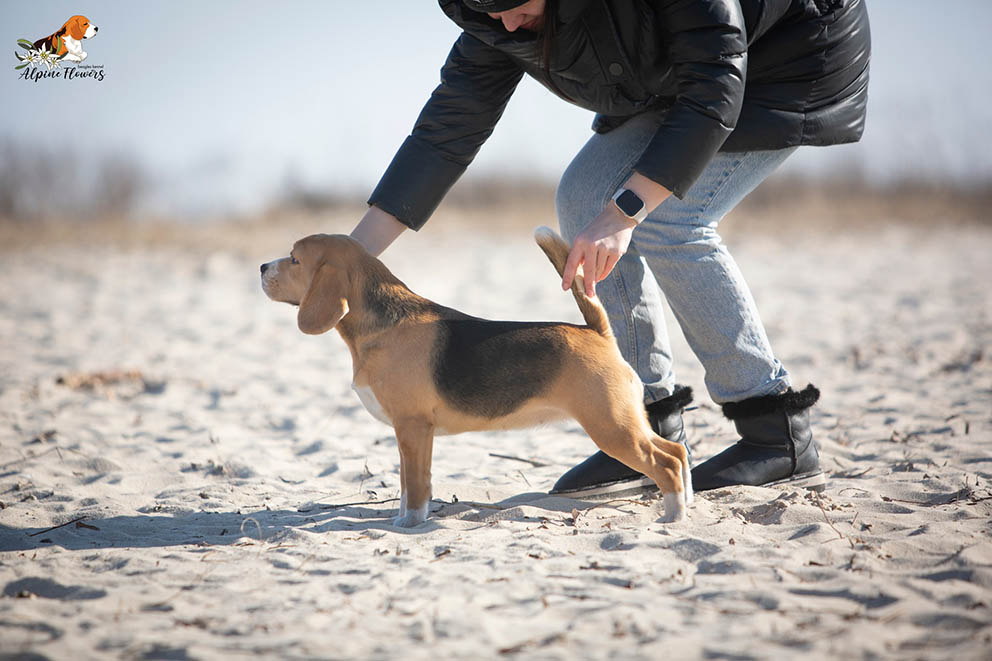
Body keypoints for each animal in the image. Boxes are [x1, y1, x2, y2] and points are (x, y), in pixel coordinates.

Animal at [260, 227, 688, 524]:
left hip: (611, 427)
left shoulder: (413, 426)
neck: (383, 323)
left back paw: (673, 516)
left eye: (294, 259)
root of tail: (596, 332)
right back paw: (685, 501)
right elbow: (408, 482)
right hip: (626, 422)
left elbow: (415, 484)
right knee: (676, 452)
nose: (263, 267)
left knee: (664, 463)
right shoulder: (410, 433)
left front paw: (410, 523)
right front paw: (404, 517)